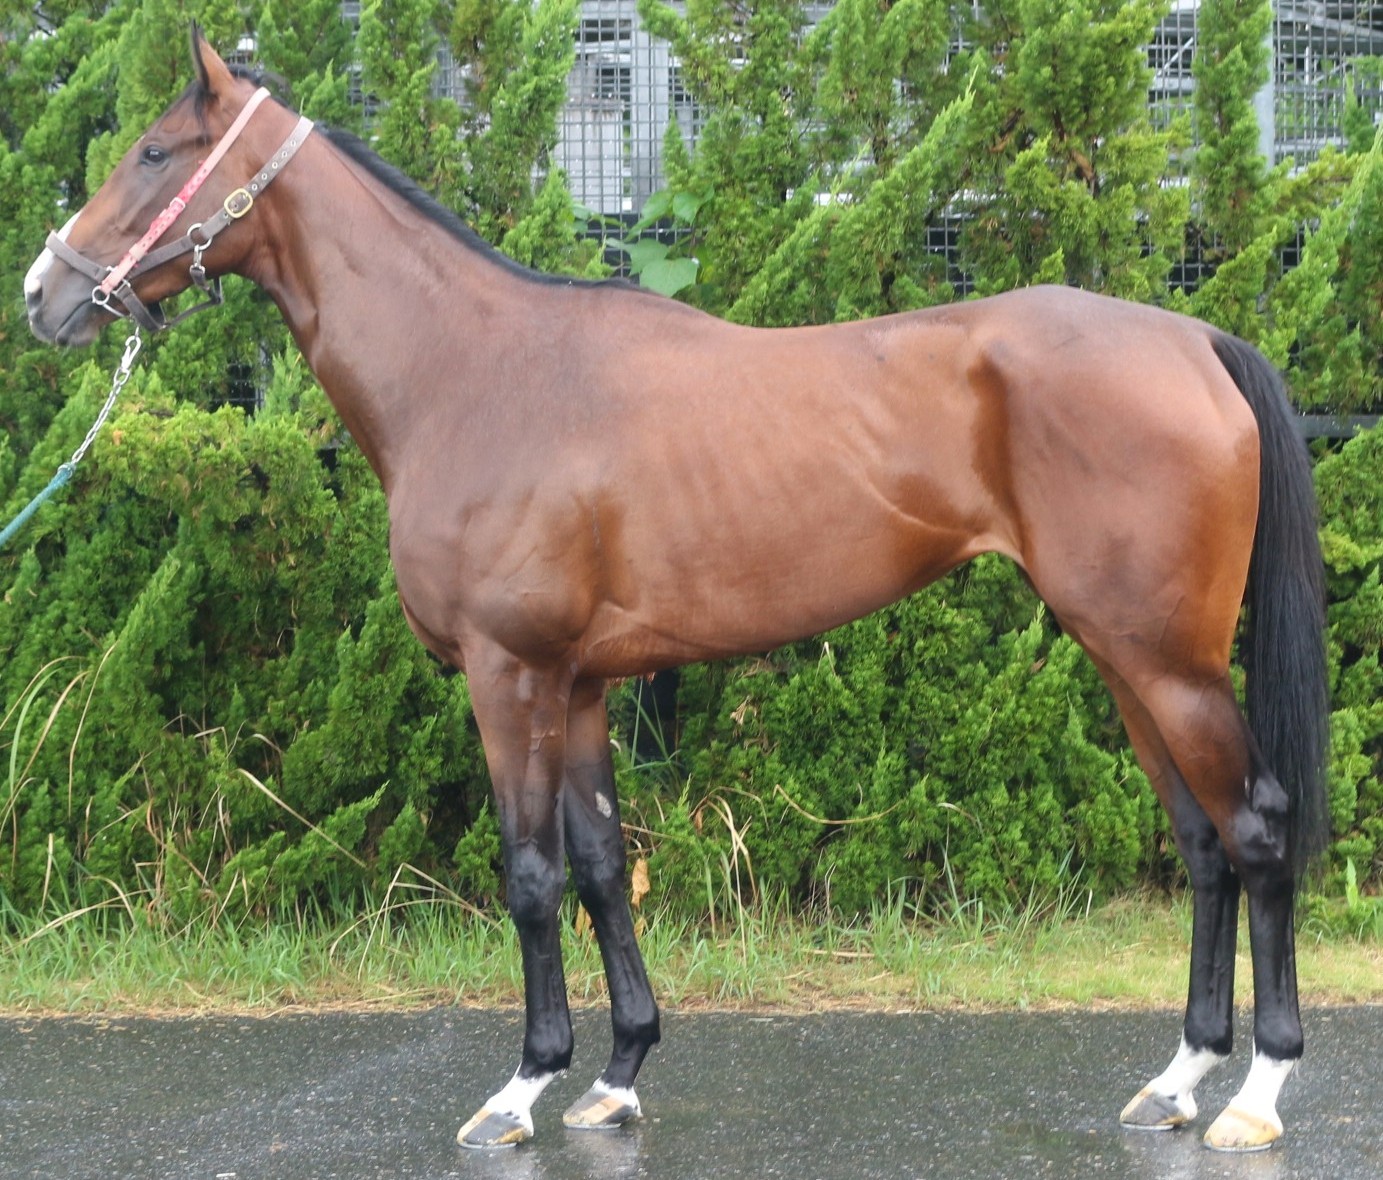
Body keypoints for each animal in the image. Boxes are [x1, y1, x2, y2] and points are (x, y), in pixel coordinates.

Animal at [24, 31, 1328, 1154]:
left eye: (155, 152)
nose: (45, 293)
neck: (475, 372)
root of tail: (1196, 339)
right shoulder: (581, 684)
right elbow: (605, 866)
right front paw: (615, 1074)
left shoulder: (510, 674)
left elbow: (531, 875)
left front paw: (522, 1088)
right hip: (1124, 655)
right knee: (1203, 842)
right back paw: (1177, 1079)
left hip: (1165, 660)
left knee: (1257, 829)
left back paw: (1256, 1093)